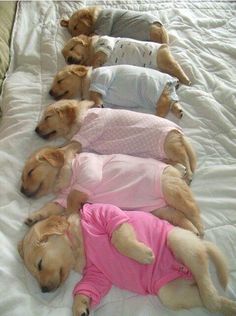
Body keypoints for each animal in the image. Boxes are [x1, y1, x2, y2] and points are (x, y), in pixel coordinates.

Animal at [17, 202, 236, 316]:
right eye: (34, 273)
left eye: (40, 264)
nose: (43, 290)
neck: (79, 244)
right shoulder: (96, 273)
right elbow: (87, 288)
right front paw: (80, 306)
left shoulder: (109, 213)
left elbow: (119, 239)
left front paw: (143, 254)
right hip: (170, 292)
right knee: (199, 292)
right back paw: (228, 306)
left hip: (177, 239)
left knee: (206, 282)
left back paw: (213, 299)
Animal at [20, 144, 203, 236]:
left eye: (30, 172)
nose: (21, 191)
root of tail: (173, 169)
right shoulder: (61, 200)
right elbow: (50, 206)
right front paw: (35, 216)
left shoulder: (89, 175)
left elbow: (72, 198)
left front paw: (70, 215)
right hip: (162, 209)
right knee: (180, 217)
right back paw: (192, 230)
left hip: (173, 191)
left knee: (193, 210)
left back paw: (200, 228)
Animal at [48, 64, 183, 118]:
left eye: (60, 80)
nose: (49, 92)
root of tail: (172, 82)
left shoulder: (102, 78)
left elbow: (95, 93)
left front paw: (98, 103)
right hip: (168, 95)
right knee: (173, 102)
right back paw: (179, 111)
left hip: (157, 94)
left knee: (165, 104)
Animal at [61, 34, 192, 85]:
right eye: (65, 56)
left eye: (72, 48)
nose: (69, 59)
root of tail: (164, 45)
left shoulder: (104, 46)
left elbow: (97, 58)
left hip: (165, 60)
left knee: (176, 67)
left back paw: (186, 80)